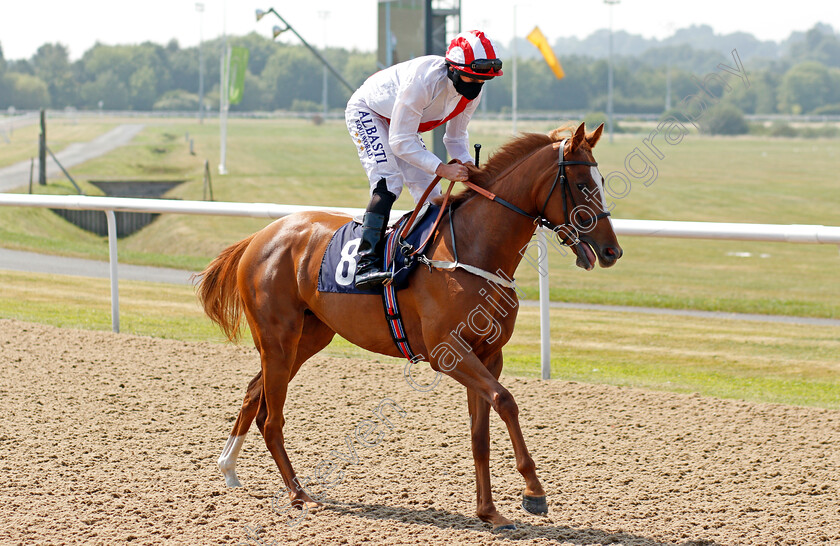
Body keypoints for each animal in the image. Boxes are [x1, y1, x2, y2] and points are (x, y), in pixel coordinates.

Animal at [194, 122, 620, 528]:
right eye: (582, 185)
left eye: (600, 181)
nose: (612, 251)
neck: (473, 250)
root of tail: (259, 236)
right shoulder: (449, 353)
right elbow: (506, 401)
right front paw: (533, 490)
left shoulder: (488, 354)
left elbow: (480, 434)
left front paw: (489, 512)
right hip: (278, 338)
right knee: (272, 418)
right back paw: (299, 494)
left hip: (307, 337)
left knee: (254, 392)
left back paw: (229, 467)